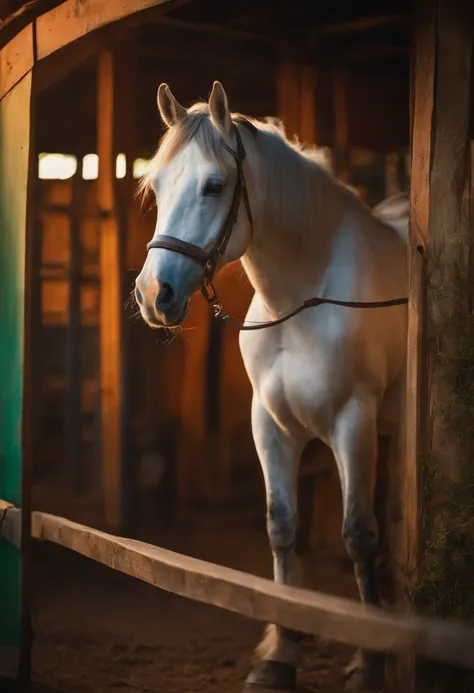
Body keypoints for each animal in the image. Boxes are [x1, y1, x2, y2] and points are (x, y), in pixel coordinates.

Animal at [135, 82, 410, 692]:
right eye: (156, 186)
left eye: (215, 185)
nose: (154, 295)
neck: (302, 301)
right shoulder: (272, 426)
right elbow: (282, 528)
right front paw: (281, 653)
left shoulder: (353, 421)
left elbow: (358, 533)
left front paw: (371, 663)